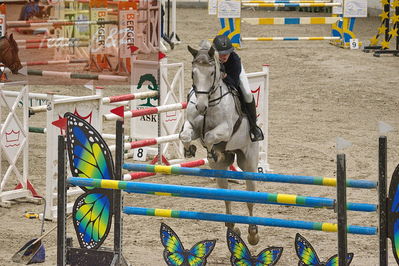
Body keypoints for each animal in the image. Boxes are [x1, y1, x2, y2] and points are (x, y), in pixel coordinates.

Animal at [180, 41, 260, 245]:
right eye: (193, 72)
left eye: (211, 73)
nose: (201, 107)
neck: (210, 102)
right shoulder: (192, 125)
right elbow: (185, 136)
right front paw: (190, 150)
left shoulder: (225, 130)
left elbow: (209, 136)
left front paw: (211, 151)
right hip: (220, 169)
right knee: (227, 196)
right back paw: (232, 228)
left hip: (248, 162)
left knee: (250, 197)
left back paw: (253, 233)